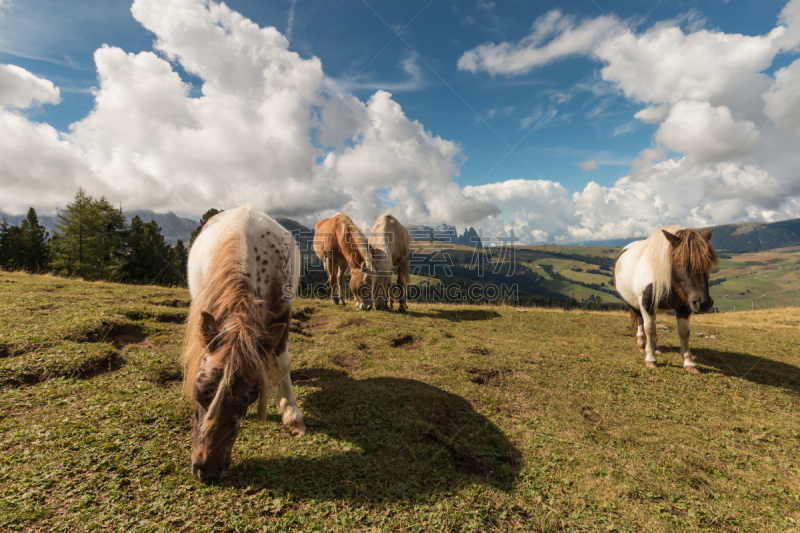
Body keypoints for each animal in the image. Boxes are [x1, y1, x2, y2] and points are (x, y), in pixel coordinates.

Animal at [184, 206, 306, 480]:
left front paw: (292, 414)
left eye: (247, 400)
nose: (207, 471)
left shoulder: (283, 314)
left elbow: (283, 363)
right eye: (198, 393)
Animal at [612, 227, 720, 372]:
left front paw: (689, 362)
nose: (703, 303)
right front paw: (650, 358)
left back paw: (655, 347)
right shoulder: (646, 303)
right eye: (680, 262)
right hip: (635, 304)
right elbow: (649, 328)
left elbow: (684, 332)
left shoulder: (684, 307)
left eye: (707, 263)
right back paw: (641, 344)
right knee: (641, 321)